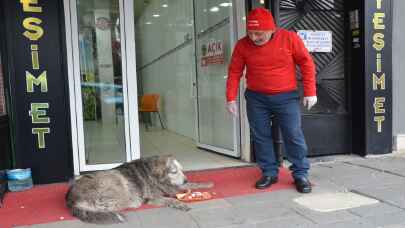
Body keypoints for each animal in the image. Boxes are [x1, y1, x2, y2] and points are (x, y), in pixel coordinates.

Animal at [64, 155, 213, 224]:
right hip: (117, 184)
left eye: (182, 170)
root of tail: (70, 199)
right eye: (174, 171)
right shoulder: (153, 197)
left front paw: (205, 184)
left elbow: (189, 186)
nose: (185, 179)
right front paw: (180, 203)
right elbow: (169, 199)